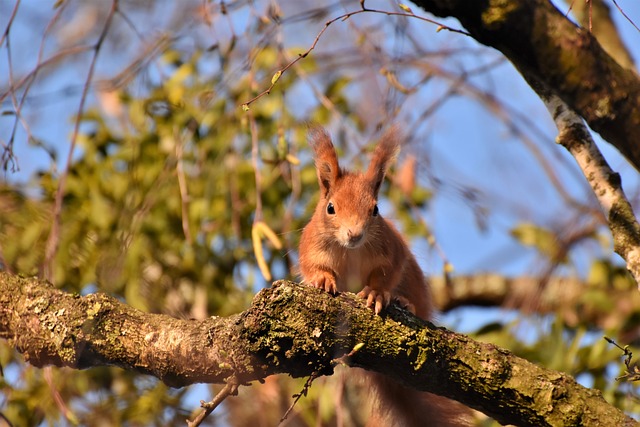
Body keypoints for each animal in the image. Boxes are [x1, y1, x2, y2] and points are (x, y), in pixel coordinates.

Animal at [298, 129, 468, 427]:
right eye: (330, 208)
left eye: (375, 209)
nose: (354, 234)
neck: (350, 250)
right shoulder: (310, 246)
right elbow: (313, 266)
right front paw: (321, 280)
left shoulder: (393, 252)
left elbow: (385, 276)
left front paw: (376, 293)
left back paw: (403, 302)